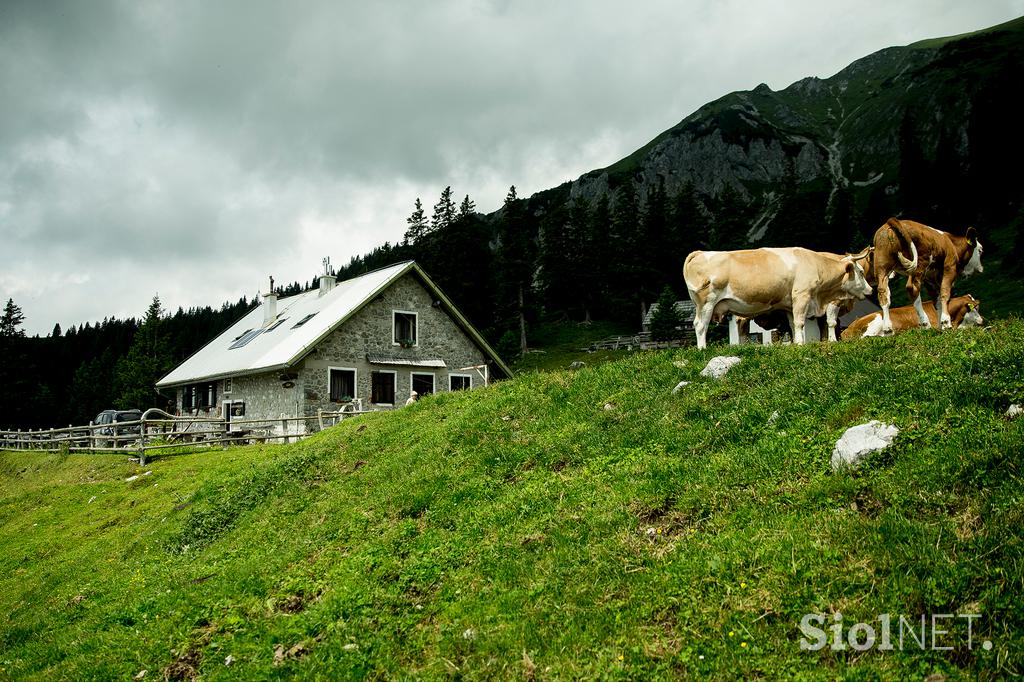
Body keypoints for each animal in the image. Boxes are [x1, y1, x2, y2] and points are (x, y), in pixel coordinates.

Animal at [684, 246, 868, 348]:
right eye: (860, 272)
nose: (869, 290)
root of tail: (699, 253)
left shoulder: (789, 305)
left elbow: (793, 324)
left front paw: (797, 343)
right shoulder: (801, 295)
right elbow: (802, 322)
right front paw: (802, 344)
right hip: (706, 302)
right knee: (700, 324)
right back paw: (702, 349)